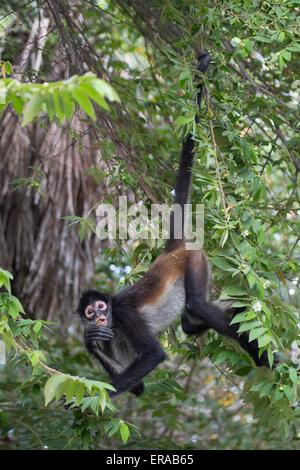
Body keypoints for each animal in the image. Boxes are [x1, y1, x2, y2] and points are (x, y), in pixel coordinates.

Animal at [78, 52, 278, 396]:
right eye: (90, 313)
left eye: (102, 307)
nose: (99, 318)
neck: (114, 316)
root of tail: (170, 251)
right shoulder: (113, 332)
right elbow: (137, 386)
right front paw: (90, 341)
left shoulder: (124, 314)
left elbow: (154, 355)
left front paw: (80, 400)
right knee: (190, 320)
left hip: (193, 261)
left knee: (196, 305)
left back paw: (260, 352)